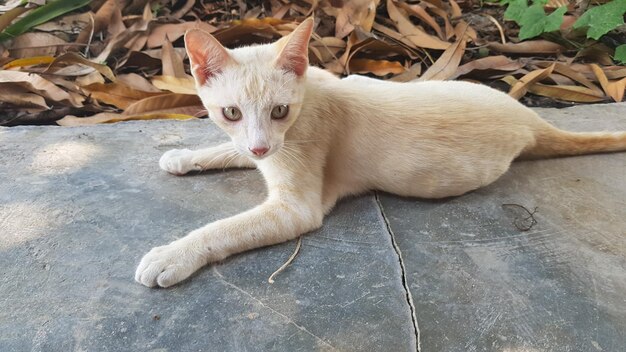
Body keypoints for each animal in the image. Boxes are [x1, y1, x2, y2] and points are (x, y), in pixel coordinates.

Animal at [134, 17, 624, 288]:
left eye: (280, 110)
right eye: (231, 112)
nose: (260, 143)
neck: (309, 95)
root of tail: (528, 116)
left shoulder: (296, 205)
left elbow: (222, 229)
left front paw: (172, 255)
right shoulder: (263, 147)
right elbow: (228, 149)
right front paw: (183, 156)